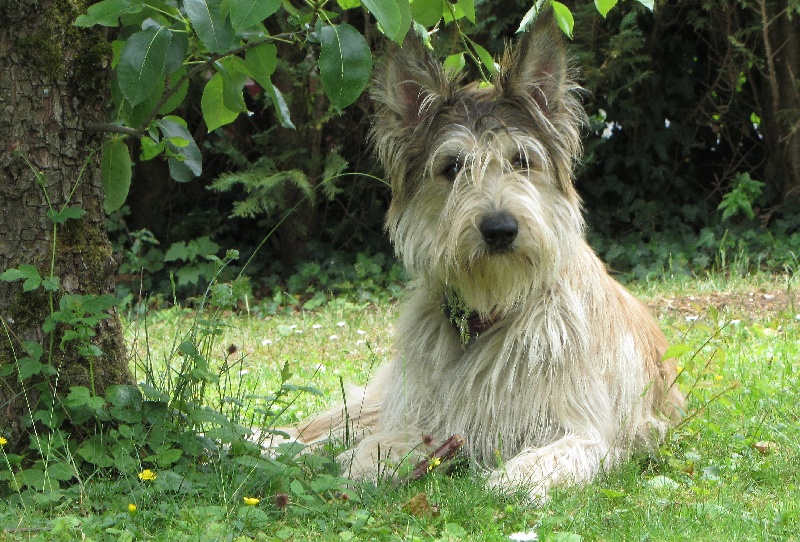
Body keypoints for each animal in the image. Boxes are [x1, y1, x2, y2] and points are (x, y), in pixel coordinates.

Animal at [287, 13, 685, 501]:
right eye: (453, 166)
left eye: (521, 160)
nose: (499, 229)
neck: (491, 310)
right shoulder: (421, 420)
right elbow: (373, 449)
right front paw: (358, 467)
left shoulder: (586, 432)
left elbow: (551, 457)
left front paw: (510, 479)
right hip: (378, 402)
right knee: (318, 431)